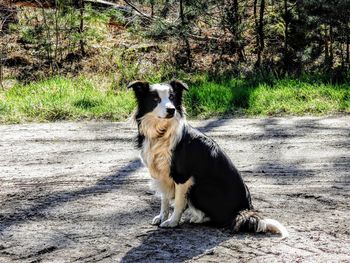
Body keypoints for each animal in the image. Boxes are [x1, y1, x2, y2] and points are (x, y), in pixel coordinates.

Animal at [127, 79, 288, 238]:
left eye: (172, 97)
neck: (162, 133)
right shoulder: (163, 174)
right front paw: (162, 217)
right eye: (155, 99)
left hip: (198, 187)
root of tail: (244, 209)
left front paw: (172, 222)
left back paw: (199, 218)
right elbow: (164, 200)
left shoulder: (182, 176)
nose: (171, 110)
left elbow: (178, 202)